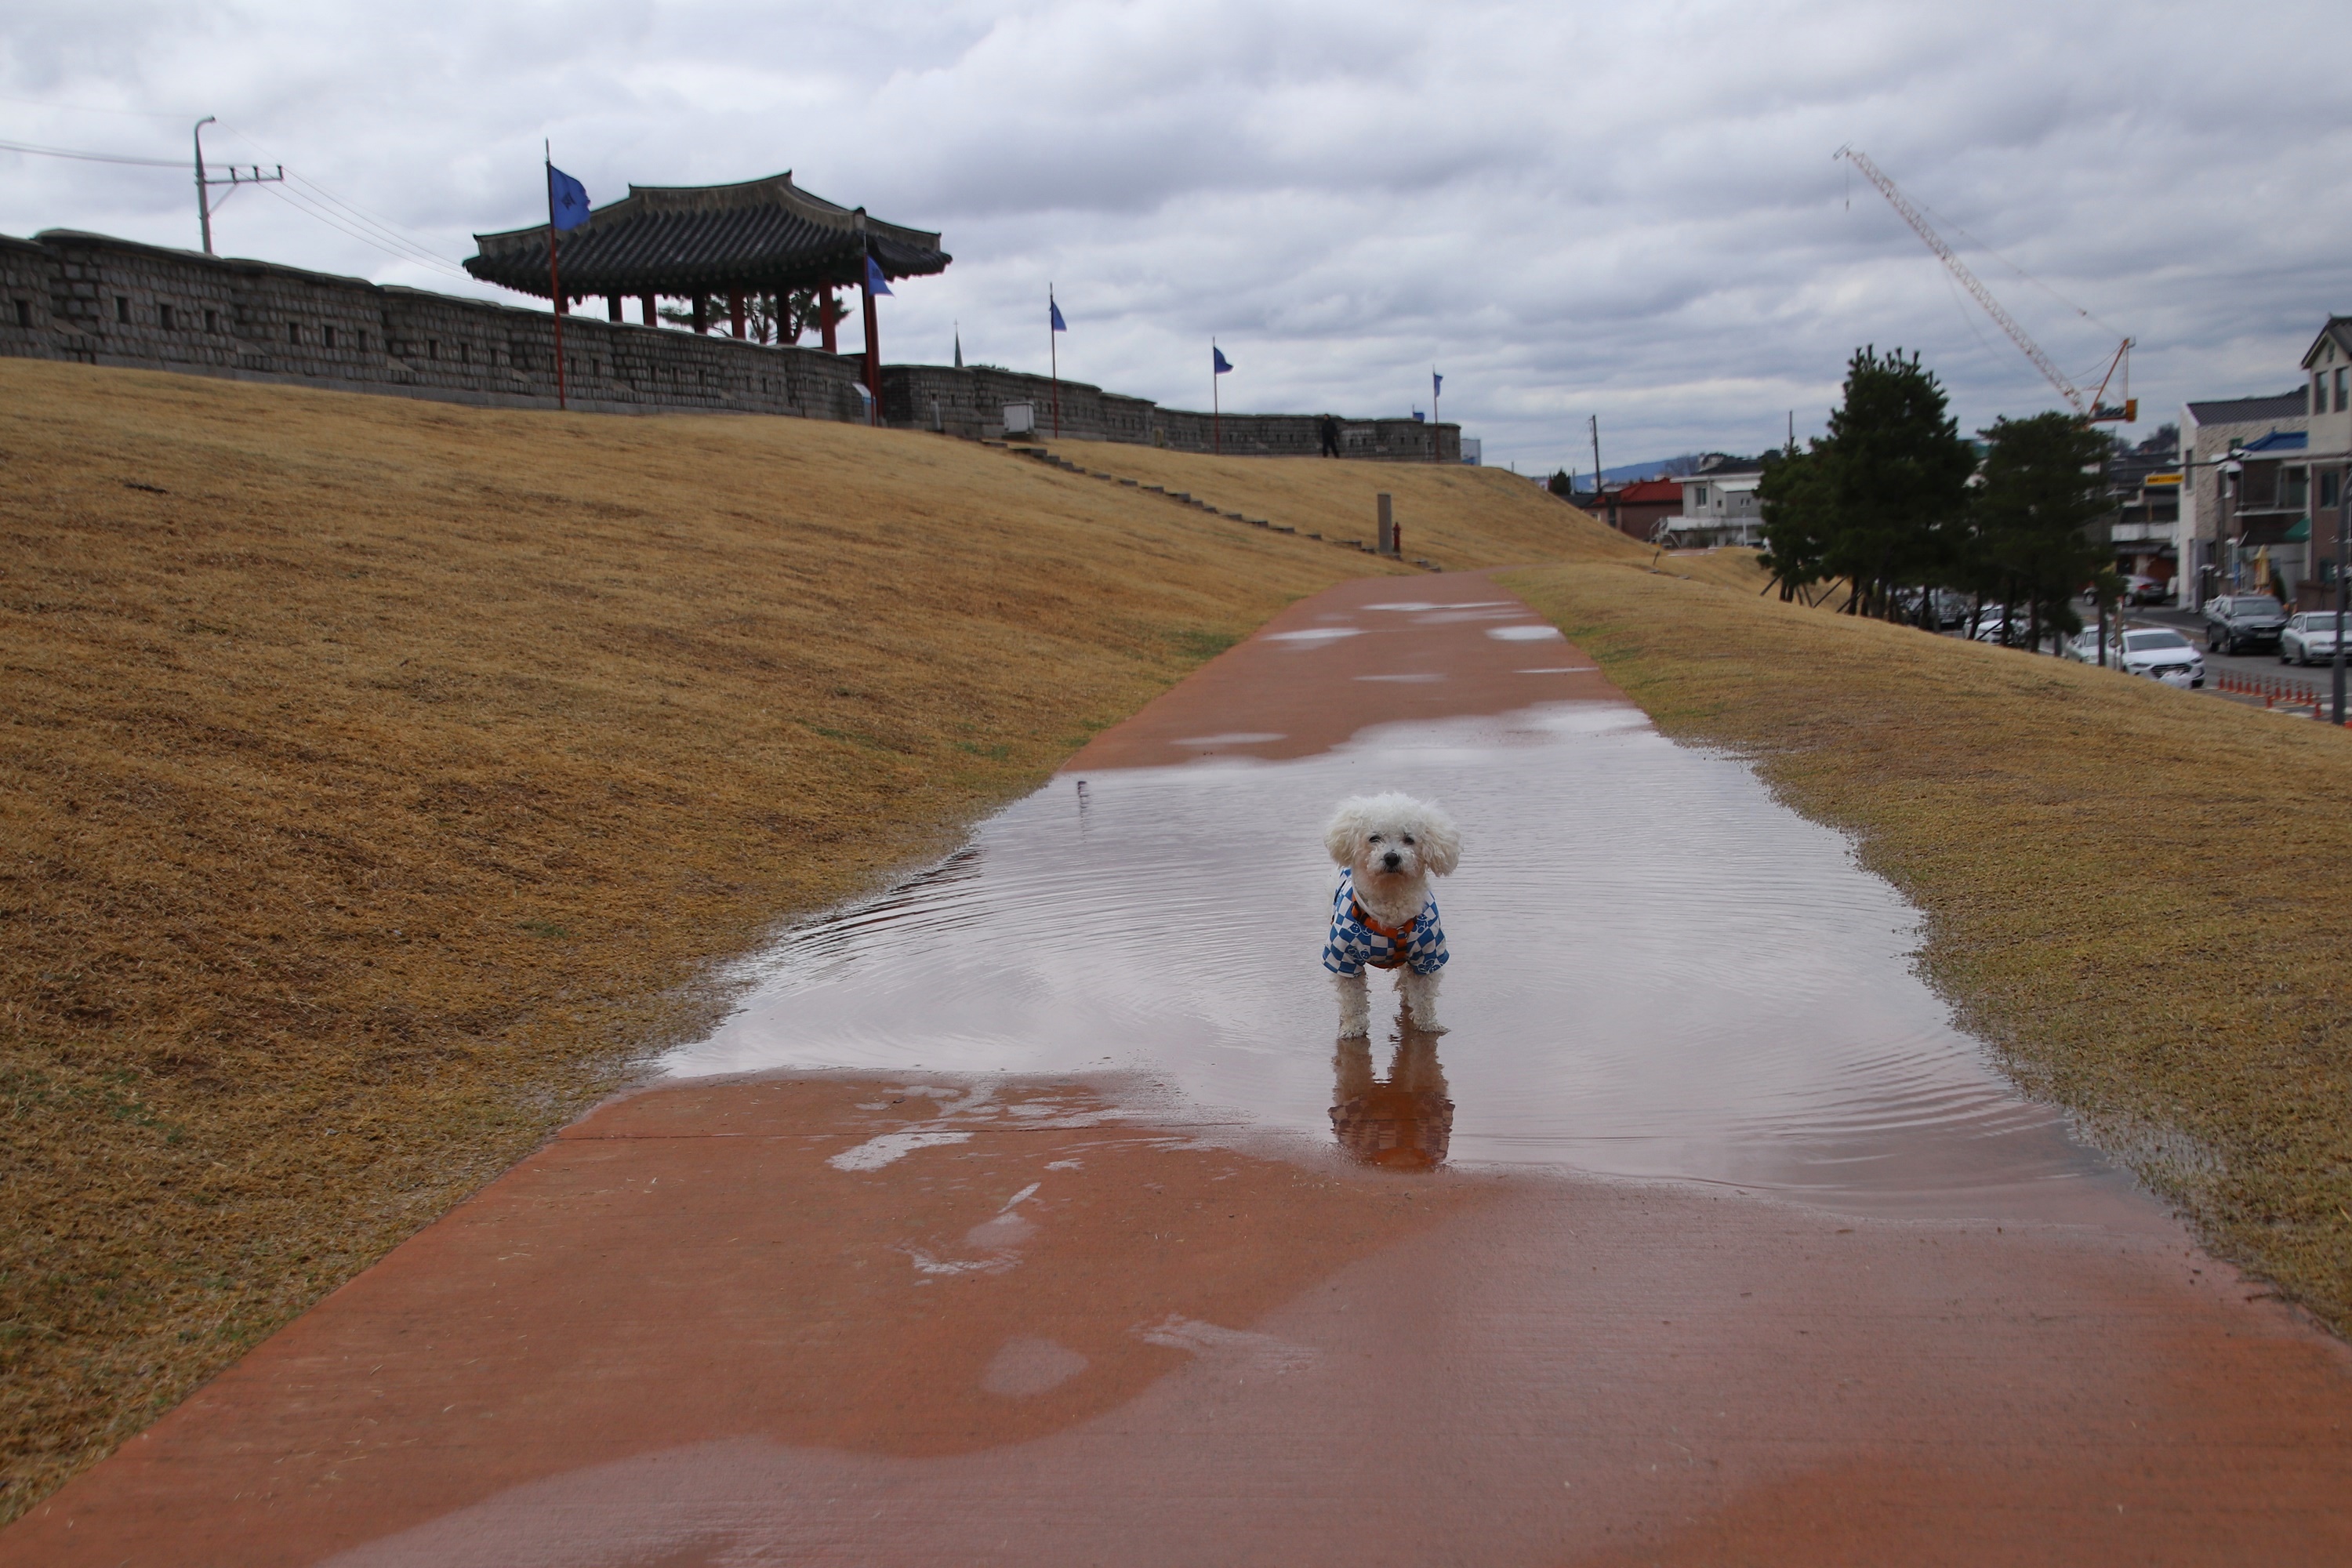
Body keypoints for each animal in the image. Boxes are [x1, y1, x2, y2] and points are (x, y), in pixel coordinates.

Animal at [1321, 793, 1461, 1037]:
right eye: (1374, 838)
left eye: (1409, 839)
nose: (1392, 857)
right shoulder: (1342, 958)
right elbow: (1352, 997)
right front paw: (1353, 1027)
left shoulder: (1429, 954)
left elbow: (1424, 995)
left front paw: (1428, 1024)